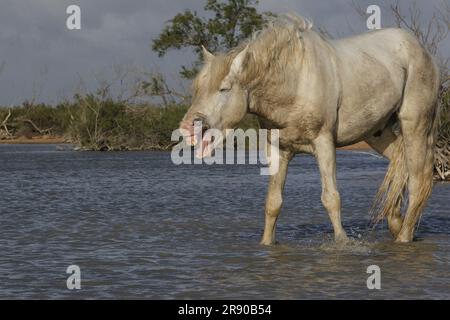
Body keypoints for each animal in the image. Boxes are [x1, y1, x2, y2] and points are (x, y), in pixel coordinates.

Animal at [178, 14, 440, 242]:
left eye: (224, 88)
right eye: (198, 88)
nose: (188, 127)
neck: (294, 82)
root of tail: (420, 48)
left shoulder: (324, 143)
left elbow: (331, 198)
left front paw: (342, 242)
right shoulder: (278, 149)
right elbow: (273, 203)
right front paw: (266, 244)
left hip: (415, 124)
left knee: (419, 178)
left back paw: (404, 237)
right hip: (377, 132)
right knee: (399, 161)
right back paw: (396, 223)